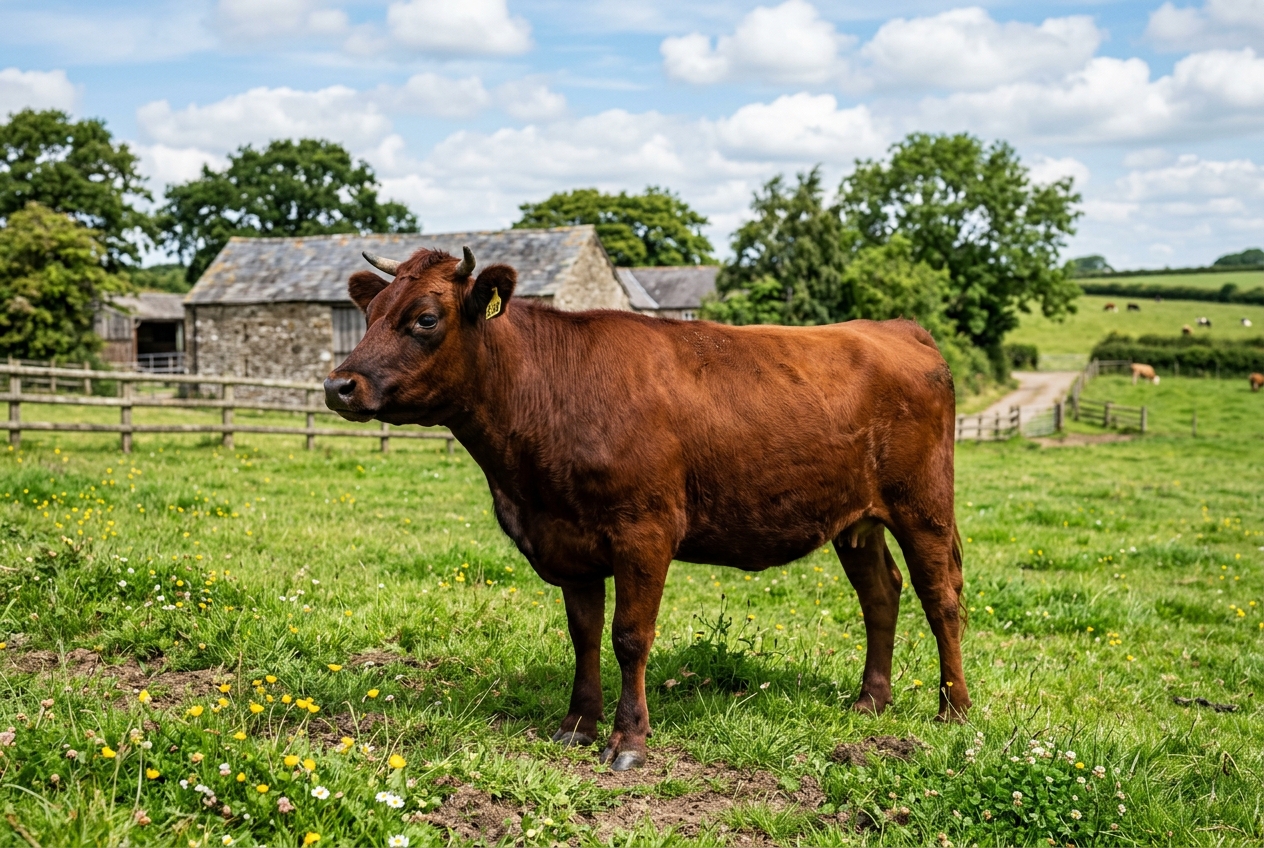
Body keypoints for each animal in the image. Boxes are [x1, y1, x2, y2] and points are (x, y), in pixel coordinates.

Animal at [324, 247, 971, 771]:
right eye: (370, 313)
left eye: (425, 319)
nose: (338, 385)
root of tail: (896, 327)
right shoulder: (567, 541)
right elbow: (583, 634)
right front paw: (577, 726)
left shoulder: (644, 531)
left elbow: (630, 636)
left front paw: (628, 741)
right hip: (856, 518)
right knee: (881, 593)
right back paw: (870, 701)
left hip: (925, 505)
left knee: (941, 599)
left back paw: (954, 711)